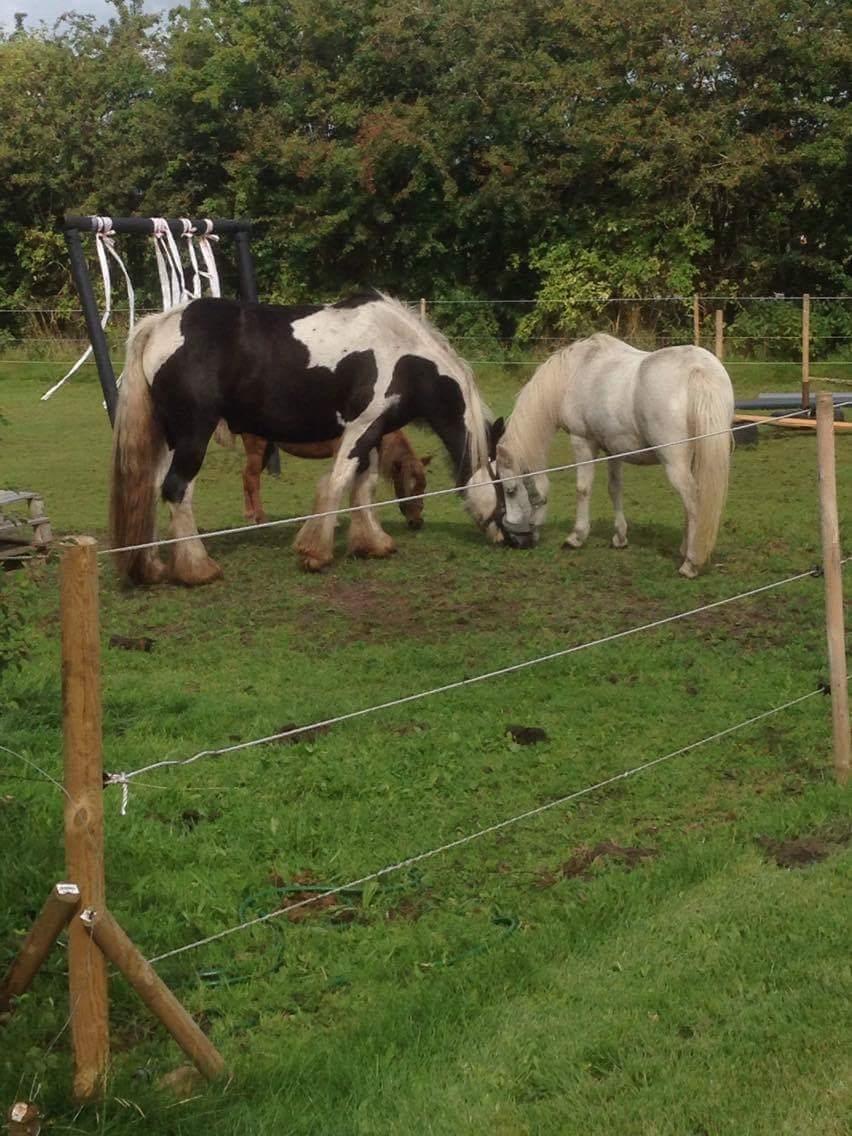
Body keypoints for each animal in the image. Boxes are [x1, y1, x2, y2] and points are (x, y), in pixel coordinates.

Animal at [238, 429, 433, 527]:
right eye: (406, 487)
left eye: (423, 487)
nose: (417, 522)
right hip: (258, 447)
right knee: (252, 479)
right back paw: (261, 519)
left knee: (246, 476)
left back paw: (249, 515)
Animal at [497, 331, 736, 577]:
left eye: (510, 491)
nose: (514, 540)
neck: (573, 372)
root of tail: (698, 369)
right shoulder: (614, 450)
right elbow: (615, 489)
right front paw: (620, 537)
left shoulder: (582, 441)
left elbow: (583, 489)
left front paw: (576, 537)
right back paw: (685, 549)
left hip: (675, 463)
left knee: (693, 501)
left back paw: (691, 562)